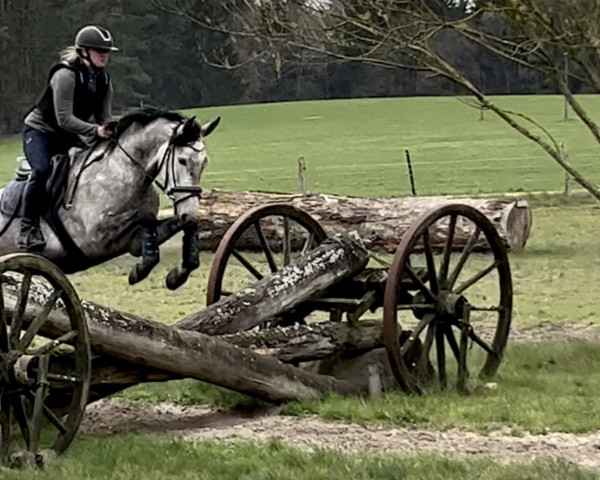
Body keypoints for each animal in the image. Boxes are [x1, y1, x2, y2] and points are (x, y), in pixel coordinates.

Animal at [0, 109, 219, 288]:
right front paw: (139, 271)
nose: (190, 211)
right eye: (182, 160)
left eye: (204, 163)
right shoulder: (98, 243)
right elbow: (146, 232)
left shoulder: (134, 239)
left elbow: (170, 228)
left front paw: (177, 275)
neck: (124, 174)